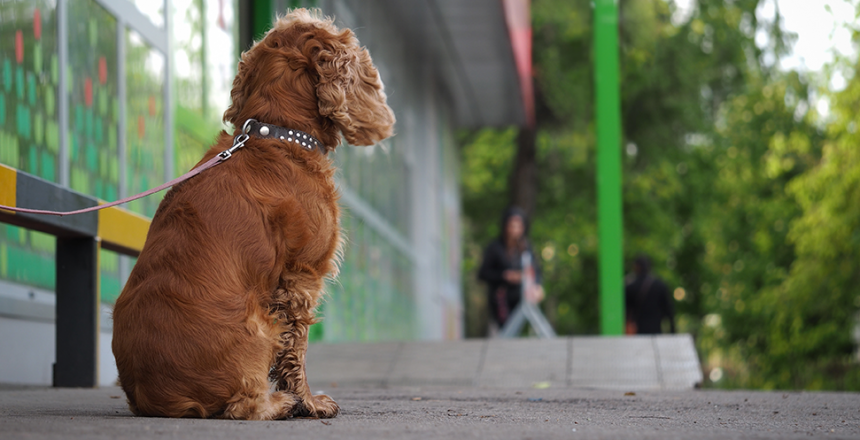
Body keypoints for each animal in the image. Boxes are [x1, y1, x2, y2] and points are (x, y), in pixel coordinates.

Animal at [111, 7, 396, 420]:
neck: (277, 132)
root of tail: (156, 397)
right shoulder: (301, 277)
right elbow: (298, 347)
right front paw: (309, 402)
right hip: (260, 325)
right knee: (242, 405)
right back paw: (279, 403)